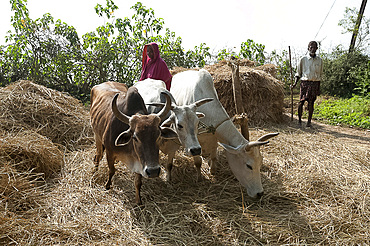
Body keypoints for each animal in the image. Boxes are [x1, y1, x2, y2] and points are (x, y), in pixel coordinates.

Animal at [169, 68, 278, 198]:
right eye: (249, 166)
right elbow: (198, 161)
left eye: (261, 162)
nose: (259, 193)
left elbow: (214, 156)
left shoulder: (214, 138)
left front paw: (212, 169)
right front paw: (200, 177)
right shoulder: (194, 143)